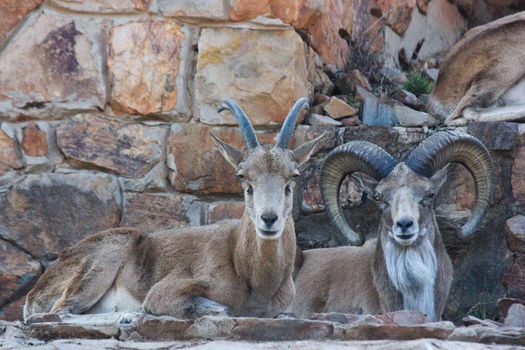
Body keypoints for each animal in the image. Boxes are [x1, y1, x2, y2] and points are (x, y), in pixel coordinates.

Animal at [25, 98, 328, 322]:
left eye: (293, 177)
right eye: (243, 178)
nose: (269, 219)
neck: (250, 275)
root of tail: (36, 291)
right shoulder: (167, 289)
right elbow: (220, 308)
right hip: (104, 259)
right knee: (60, 312)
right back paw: (127, 315)